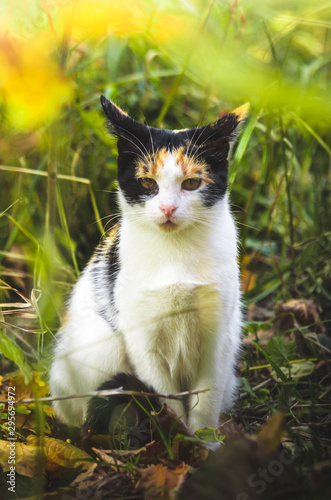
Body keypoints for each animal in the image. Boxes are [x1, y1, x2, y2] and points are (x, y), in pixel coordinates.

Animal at [49, 95, 248, 440]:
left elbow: (207, 397)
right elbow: (165, 397)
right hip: (101, 346)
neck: (175, 254)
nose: (167, 208)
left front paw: (203, 444)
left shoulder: (219, 334)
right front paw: (178, 438)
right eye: (147, 182)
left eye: (191, 183)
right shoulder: (142, 341)